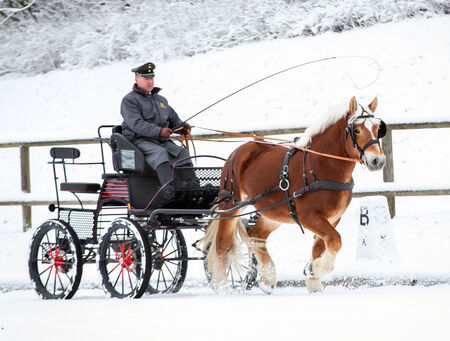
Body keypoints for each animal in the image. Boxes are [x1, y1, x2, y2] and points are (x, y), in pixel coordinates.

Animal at [203, 95, 386, 292]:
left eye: (378, 129)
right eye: (357, 130)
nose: (377, 160)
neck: (321, 166)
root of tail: (239, 150)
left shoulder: (333, 218)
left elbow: (321, 245)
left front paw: (313, 278)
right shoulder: (309, 217)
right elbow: (335, 240)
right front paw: (318, 268)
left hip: (273, 212)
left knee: (256, 235)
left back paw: (267, 278)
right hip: (231, 204)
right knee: (223, 244)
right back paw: (221, 286)